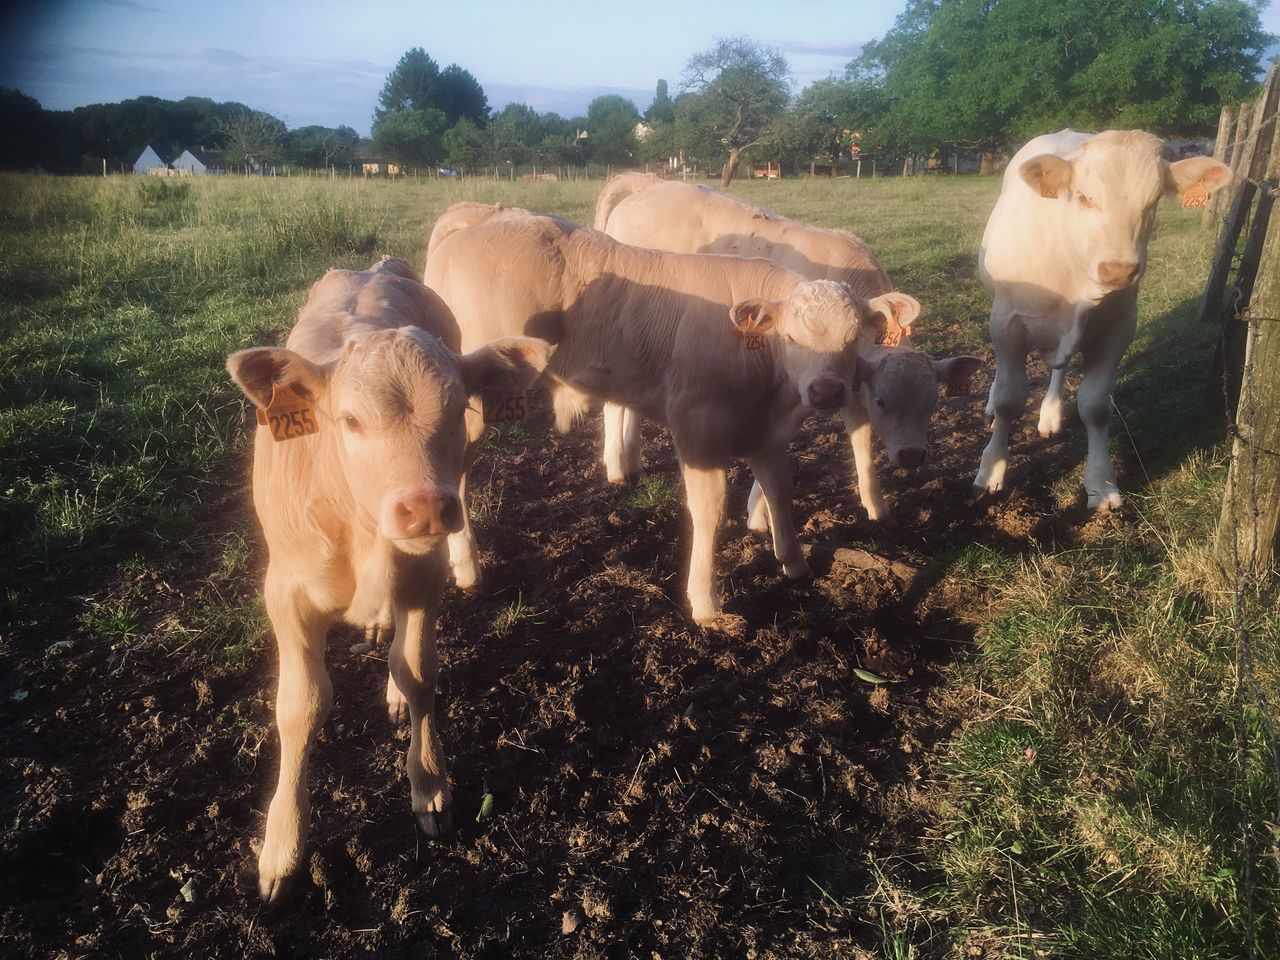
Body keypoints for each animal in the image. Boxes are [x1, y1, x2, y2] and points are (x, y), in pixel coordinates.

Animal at [227, 256, 547, 901]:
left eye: (455, 409)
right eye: (349, 420)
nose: (424, 508)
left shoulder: (423, 574)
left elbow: (418, 670)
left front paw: (429, 786)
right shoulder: (286, 593)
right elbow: (299, 704)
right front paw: (281, 846)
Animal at [422, 207, 921, 627]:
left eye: (854, 338)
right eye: (793, 336)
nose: (826, 390)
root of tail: (484, 217)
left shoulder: (765, 431)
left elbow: (779, 488)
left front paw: (793, 561)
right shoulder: (698, 428)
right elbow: (709, 509)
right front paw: (705, 601)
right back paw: (466, 566)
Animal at [591, 174, 977, 522]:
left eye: (933, 403)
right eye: (883, 401)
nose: (912, 456)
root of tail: (651, 184)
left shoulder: (848, 385)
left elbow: (860, 439)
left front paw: (876, 506)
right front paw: (759, 515)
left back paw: (632, 460)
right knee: (612, 403)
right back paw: (616, 468)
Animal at [972, 129, 1233, 512]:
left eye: (1154, 200)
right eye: (1083, 196)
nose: (1118, 269)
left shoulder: (1119, 327)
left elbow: (1095, 406)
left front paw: (1101, 482)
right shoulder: (1008, 321)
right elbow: (1009, 397)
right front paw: (991, 470)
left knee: (1061, 369)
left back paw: (1051, 413)